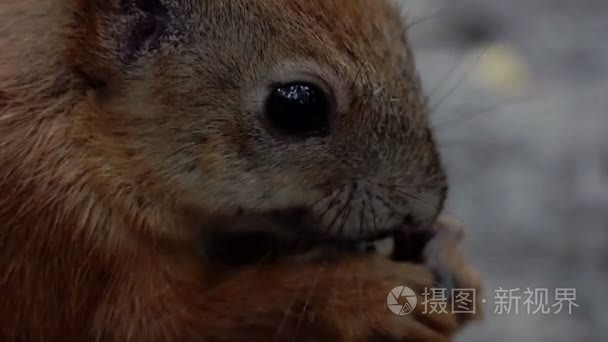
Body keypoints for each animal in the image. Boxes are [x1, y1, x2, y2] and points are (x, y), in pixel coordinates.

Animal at [2, 0, 482, 340]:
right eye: (296, 105)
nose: (424, 208)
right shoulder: (58, 231)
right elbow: (168, 325)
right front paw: (369, 297)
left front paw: (450, 258)